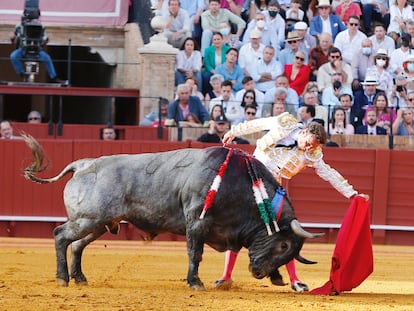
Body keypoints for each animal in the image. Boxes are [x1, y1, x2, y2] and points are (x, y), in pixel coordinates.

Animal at [23, 135, 320, 292]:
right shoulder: (197, 222)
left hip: (98, 223)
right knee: (60, 236)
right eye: (283, 245)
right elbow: (195, 254)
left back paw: (80, 278)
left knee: (77, 245)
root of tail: (83, 163)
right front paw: (195, 283)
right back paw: (62, 278)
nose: (258, 273)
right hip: (88, 219)